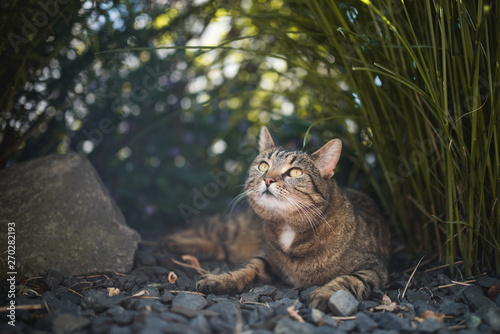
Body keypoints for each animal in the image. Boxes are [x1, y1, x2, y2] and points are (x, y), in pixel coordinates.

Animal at [165, 126, 390, 310]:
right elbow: (247, 268)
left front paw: (326, 294)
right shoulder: (267, 258)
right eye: (264, 166)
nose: (267, 179)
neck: (289, 227)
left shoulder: (374, 268)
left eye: (295, 172)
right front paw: (220, 279)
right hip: (227, 228)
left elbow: (348, 281)